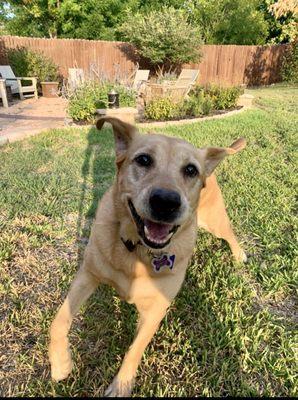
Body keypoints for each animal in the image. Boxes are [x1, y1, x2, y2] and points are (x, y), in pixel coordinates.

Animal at [48, 116, 247, 396]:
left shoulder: (155, 310)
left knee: (229, 233)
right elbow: (58, 320)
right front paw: (60, 363)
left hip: (215, 220)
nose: (166, 202)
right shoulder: (88, 274)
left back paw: (239, 253)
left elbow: (135, 350)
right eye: (143, 160)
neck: (137, 250)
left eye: (190, 170)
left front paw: (121, 386)